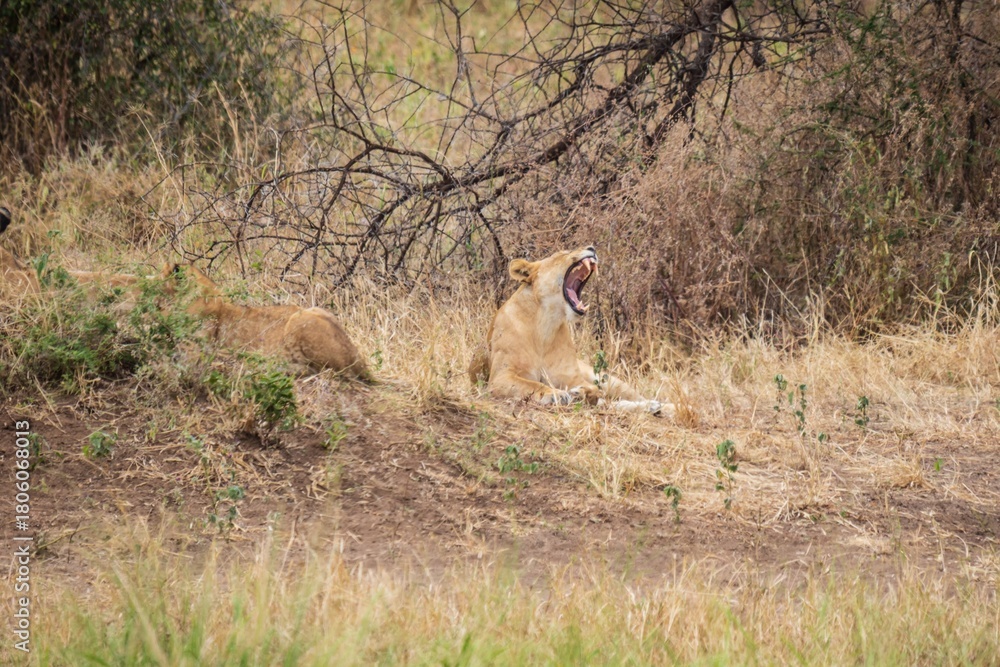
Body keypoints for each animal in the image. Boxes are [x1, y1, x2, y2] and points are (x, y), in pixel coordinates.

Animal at [469, 245, 670, 414]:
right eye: (561, 253)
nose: (592, 248)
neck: (546, 324)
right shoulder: (501, 377)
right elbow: (533, 385)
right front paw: (556, 394)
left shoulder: (573, 378)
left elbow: (594, 389)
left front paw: (578, 393)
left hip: (607, 379)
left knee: (624, 398)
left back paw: (659, 406)